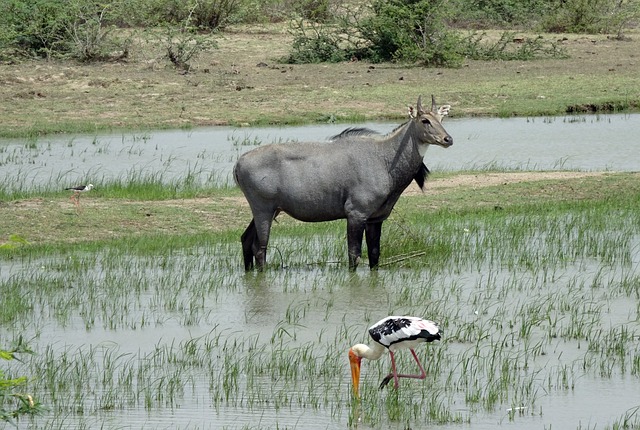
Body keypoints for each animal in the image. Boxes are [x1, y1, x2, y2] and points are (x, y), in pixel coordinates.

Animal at [232, 95, 452, 270]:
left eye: (441, 118)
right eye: (425, 120)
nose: (447, 139)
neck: (385, 159)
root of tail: (238, 163)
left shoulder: (375, 219)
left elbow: (374, 256)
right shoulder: (355, 213)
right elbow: (354, 256)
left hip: (271, 210)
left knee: (245, 239)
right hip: (263, 209)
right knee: (259, 248)